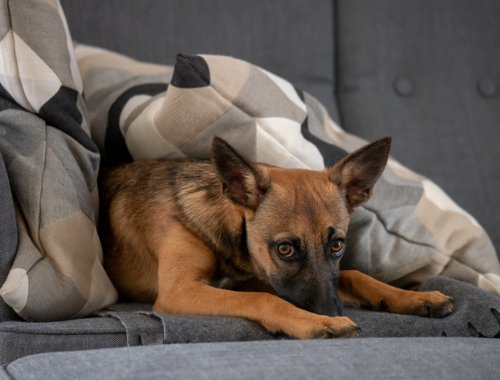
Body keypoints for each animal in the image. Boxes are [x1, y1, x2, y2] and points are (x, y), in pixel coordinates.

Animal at [97, 137, 454, 338]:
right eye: (284, 249)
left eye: (338, 245)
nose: (331, 311)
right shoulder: (179, 291)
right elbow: (265, 299)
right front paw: (318, 323)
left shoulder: (257, 279)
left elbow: (354, 274)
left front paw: (413, 296)